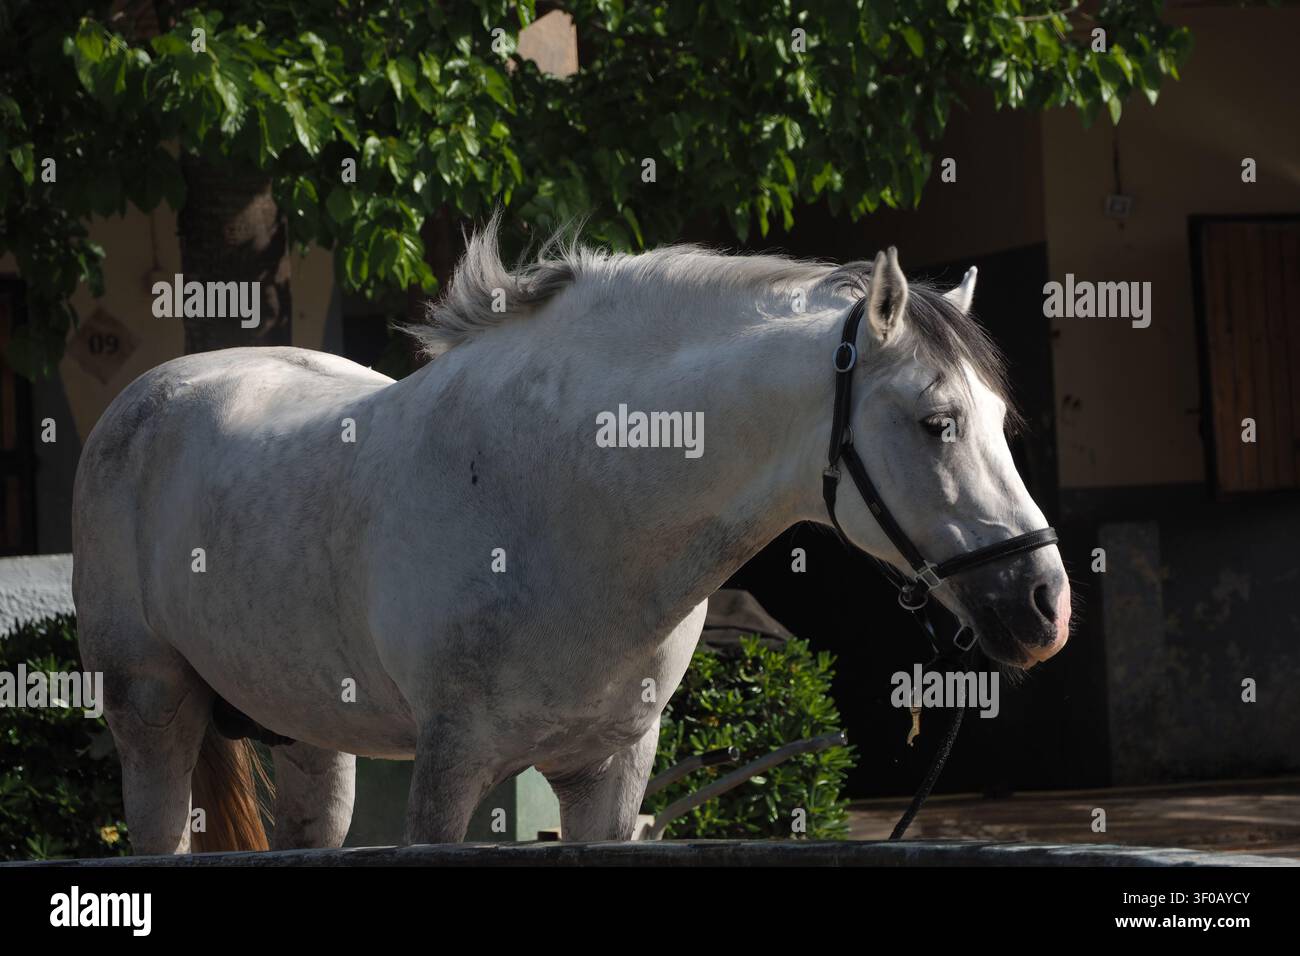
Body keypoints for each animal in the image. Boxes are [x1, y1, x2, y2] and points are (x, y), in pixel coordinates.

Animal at [71, 216, 1070, 854]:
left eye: (1001, 419)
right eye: (938, 422)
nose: (1044, 606)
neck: (569, 504)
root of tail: (148, 397)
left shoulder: (612, 775)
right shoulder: (449, 768)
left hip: (310, 731)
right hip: (152, 710)